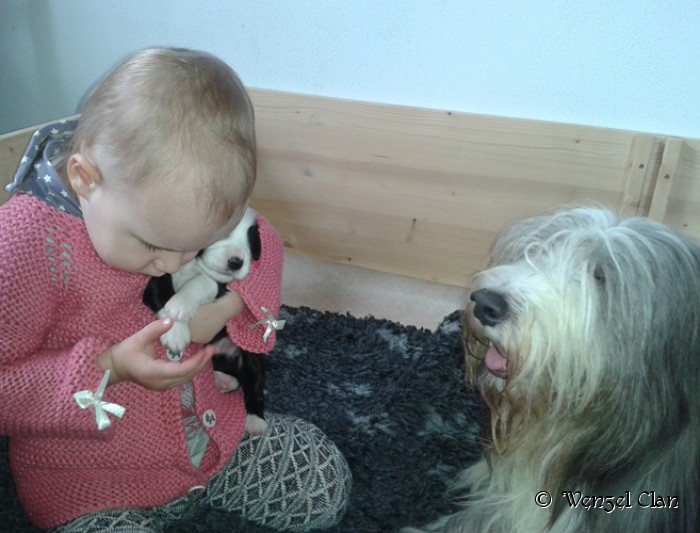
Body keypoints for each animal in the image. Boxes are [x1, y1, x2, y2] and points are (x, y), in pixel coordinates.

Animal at [143, 207, 267, 435]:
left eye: (251, 239)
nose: (237, 261)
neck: (192, 264)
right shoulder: (156, 278)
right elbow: (162, 294)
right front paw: (175, 330)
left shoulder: (219, 285)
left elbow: (202, 281)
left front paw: (180, 305)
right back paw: (223, 380)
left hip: (251, 355)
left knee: (254, 383)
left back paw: (255, 420)